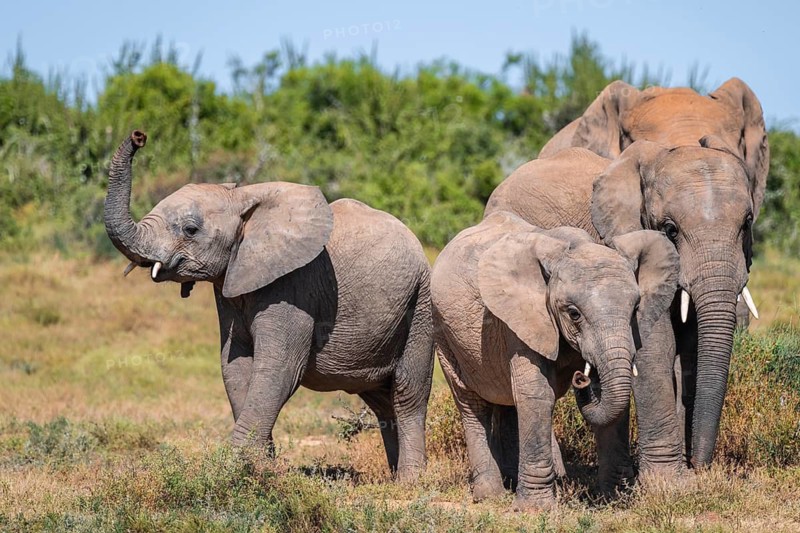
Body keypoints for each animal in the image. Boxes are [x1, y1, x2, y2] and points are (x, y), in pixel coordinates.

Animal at [104, 131, 434, 481]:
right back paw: (395, 476)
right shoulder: (232, 284)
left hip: (421, 302)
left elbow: (279, 368)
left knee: (408, 392)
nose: (139, 136)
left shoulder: (295, 285)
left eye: (190, 229)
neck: (242, 197)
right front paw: (260, 467)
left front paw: (231, 472)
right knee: (381, 399)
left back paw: (409, 483)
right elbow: (235, 367)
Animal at [431, 211, 679, 510]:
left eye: (635, 309)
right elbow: (538, 394)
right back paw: (490, 496)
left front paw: (615, 498)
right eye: (573, 313)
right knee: (472, 404)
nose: (582, 379)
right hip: (444, 334)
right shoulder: (520, 318)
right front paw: (534, 510)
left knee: (508, 401)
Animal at [485, 139, 762, 473]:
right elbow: (655, 347)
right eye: (670, 229)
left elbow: (693, 346)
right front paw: (667, 480)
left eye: (746, 223)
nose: (701, 464)